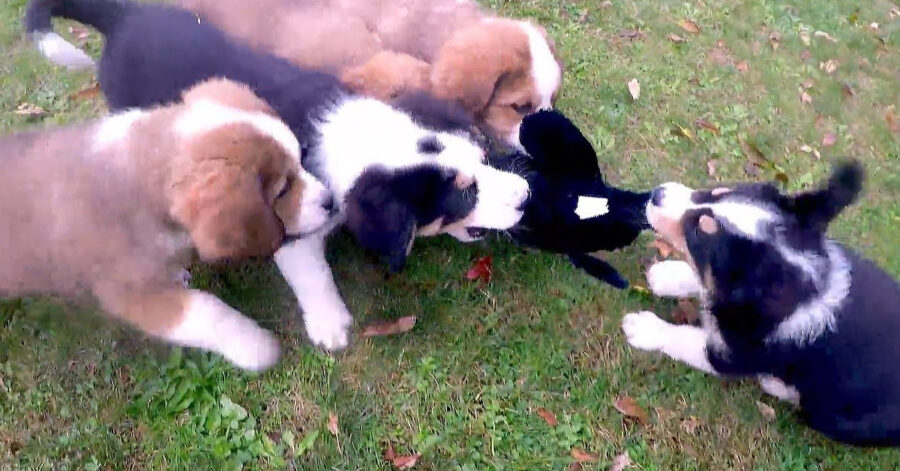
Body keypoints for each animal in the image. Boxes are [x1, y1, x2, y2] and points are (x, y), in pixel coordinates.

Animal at [624, 162, 900, 446]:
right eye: (719, 192)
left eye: (699, 230)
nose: (657, 193)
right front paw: (666, 275)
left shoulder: (734, 356)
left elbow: (685, 339)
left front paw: (643, 328)